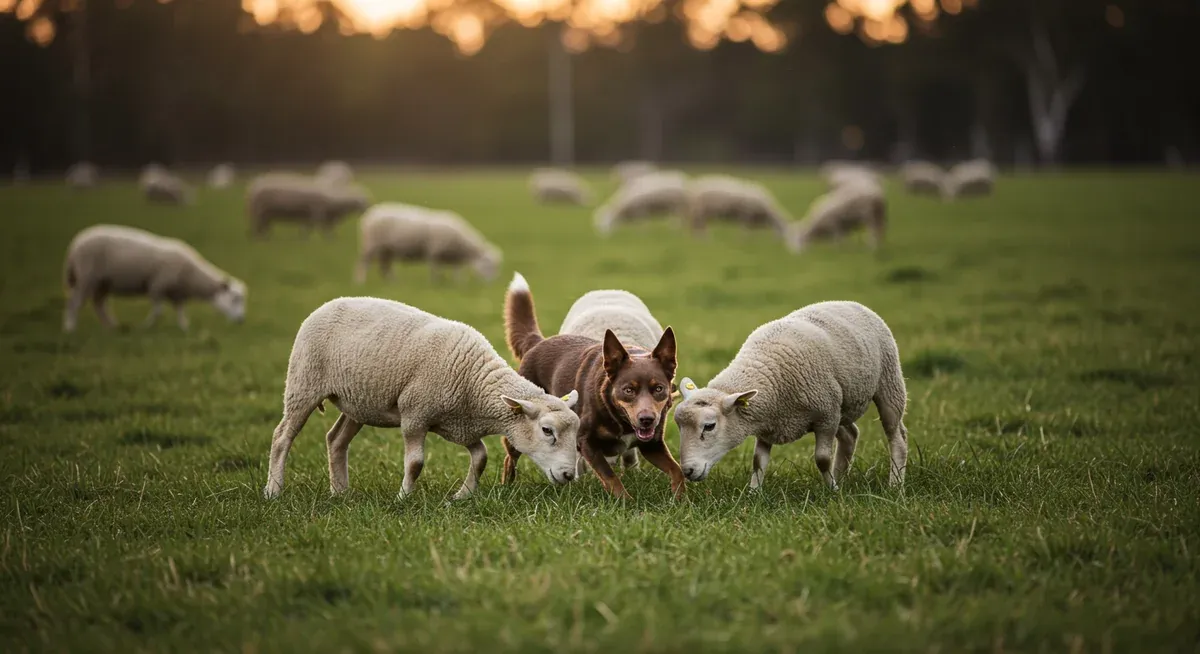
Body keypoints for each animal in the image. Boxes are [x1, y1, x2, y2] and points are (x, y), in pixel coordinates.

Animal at [62, 224, 247, 333]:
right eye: (234, 298)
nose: (241, 320)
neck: (192, 275)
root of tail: (75, 244)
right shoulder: (157, 286)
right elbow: (158, 312)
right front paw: (147, 326)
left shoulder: (177, 294)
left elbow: (180, 311)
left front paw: (185, 328)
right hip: (86, 277)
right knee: (75, 303)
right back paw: (70, 327)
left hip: (102, 282)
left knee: (99, 304)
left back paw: (112, 326)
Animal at [263, 296, 581, 500]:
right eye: (547, 430)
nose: (569, 476)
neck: (475, 381)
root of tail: (328, 304)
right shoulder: (415, 414)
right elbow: (415, 463)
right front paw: (404, 498)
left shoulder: (460, 425)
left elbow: (480, 458)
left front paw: (462, 496)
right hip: (303, 383)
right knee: (282, 436)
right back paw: (273, 491)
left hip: (358, 403)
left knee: (335, 439)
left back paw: (340, 492)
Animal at [355, 202, 502, 284]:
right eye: (488, 265)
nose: (491, 283)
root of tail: (371, 213)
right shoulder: (434, 251)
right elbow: (434, 269)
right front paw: (435, 283)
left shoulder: (454, 255)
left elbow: (457, 271)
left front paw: (459, 283)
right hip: (371, 244)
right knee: (363, 264)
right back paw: (360, 282)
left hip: (386, 249)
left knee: (385, 267)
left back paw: (393, 283)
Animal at [673, 300, 909, 491]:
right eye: (679, 427)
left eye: (709, 426)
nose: (687, 471)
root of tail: (849, 302)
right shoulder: (768, 423)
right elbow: (758, 461)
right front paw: (753, 494)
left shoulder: (826, 416)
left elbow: (822, 459)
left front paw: (832, 492)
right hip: (841, 406)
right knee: (851, 434)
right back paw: (841, 478)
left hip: (887, 381)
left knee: (897, 435)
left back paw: (895, 484)